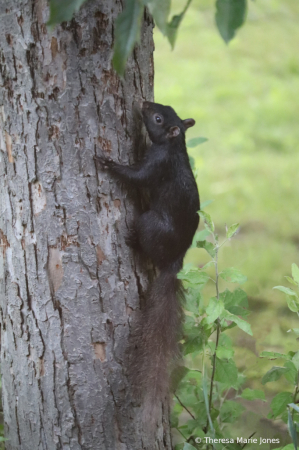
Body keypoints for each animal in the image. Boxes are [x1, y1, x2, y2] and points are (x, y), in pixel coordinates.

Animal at [95, 102, 199, 414]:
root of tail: (175, 262)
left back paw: (133, 242)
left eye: (158, 118)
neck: (173, 145)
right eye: (165, 108)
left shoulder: (158, 165)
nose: (144, 104)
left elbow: (137, 177)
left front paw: (109, 164)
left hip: (150, 223)